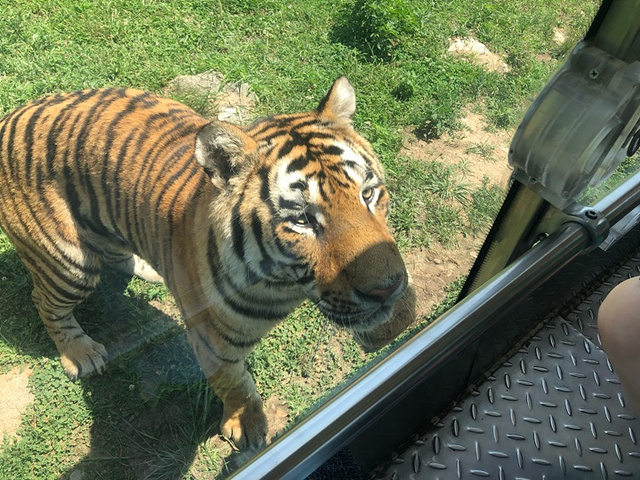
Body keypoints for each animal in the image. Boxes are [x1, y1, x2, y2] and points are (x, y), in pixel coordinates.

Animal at [0, 77, 416, 448]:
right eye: (302, 220)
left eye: (368, 194)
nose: (388, 288)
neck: (284, 284)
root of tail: (12, 116)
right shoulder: (210, 337)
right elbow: (234, 384)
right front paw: (245, 425)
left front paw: (397, 317)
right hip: (69, 263)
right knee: (45, 302)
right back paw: (80, 353)